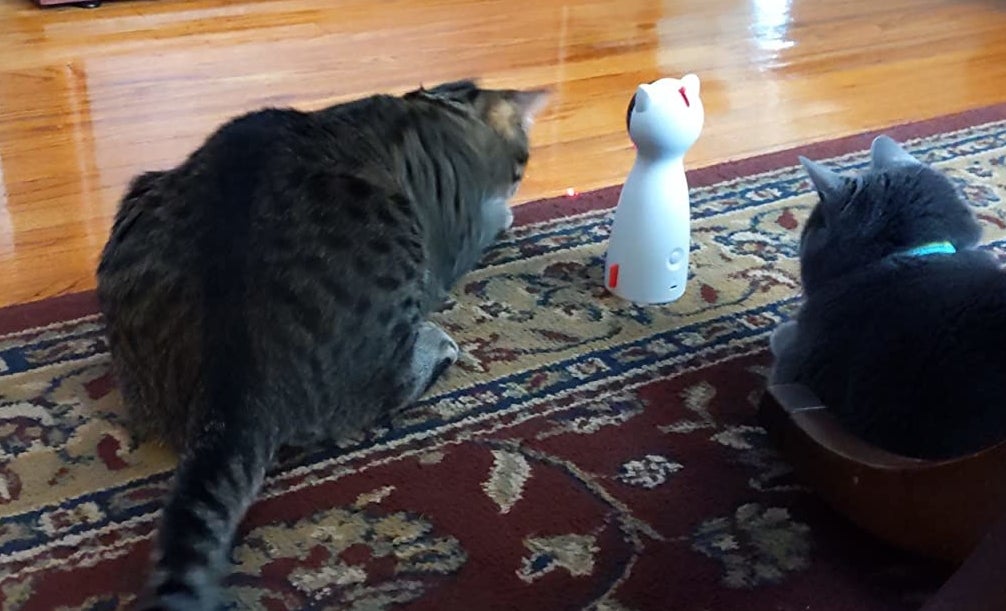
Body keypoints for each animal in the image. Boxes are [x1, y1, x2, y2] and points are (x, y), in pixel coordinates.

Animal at [98, 79, 547, 607]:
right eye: (523, 159)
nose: (519, 177)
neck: (443, 110)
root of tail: (230, 382)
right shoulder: (462, 233)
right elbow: (489, 221)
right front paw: (506, 212)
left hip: (139, 200)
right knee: (387, 388)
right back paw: (438, 345)